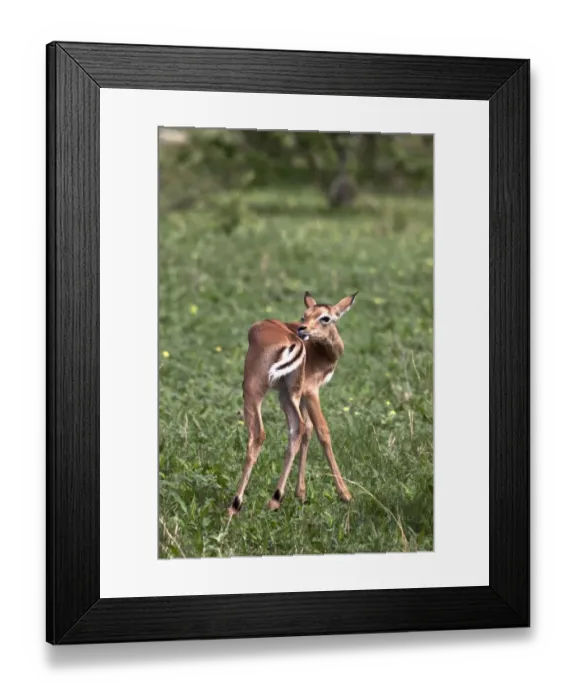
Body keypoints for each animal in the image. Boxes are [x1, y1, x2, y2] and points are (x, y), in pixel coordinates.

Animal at [228, 291, 358, 515]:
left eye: (325, 317)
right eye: (304, 315)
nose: (302, 328)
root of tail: (292, 341)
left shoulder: (305, 394)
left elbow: (314, 431)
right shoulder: (309, 392)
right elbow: (317, 432)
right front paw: (313, 493)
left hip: (264, 393)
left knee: (266, 433)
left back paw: (245, 503)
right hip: (281, 395)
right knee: (292, 430)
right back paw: (265, 500)